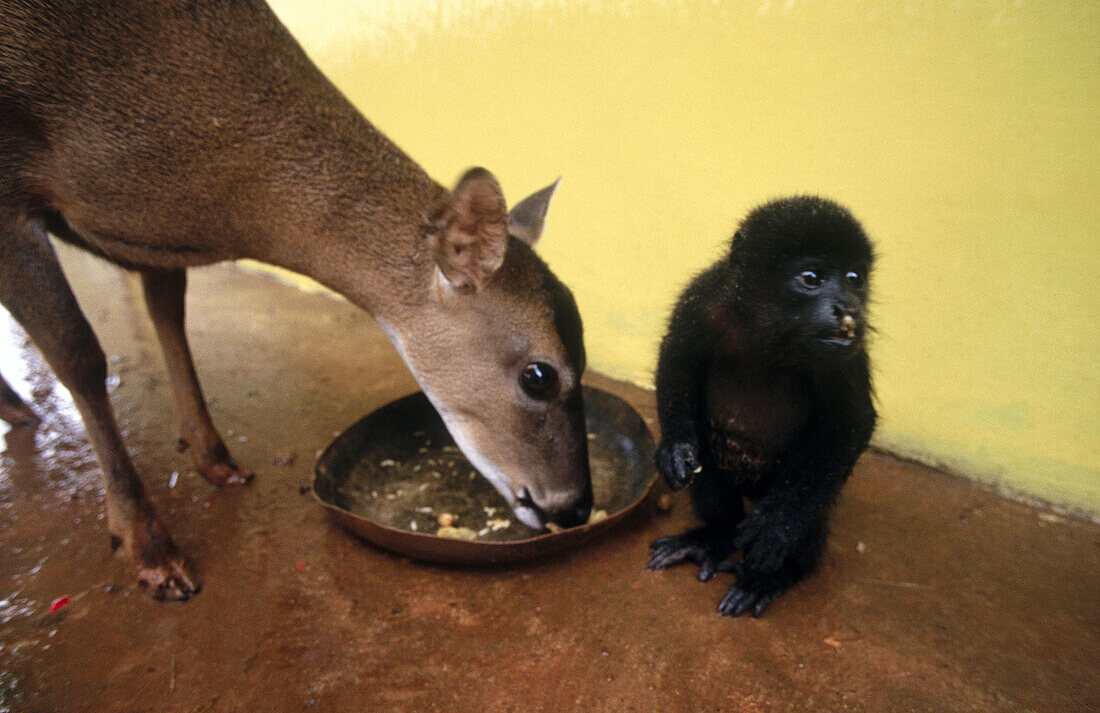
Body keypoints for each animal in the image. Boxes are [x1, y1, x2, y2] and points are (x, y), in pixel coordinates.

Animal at [0, 0, 594, 598]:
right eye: (539, 376)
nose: (575, 506)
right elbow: (79, 354)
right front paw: (151, 551)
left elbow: (169, 314)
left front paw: (215, 459)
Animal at [642, 195, 875, 616]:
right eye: (811, 278)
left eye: (855, 278)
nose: (847, 307)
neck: (771, 331)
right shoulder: (704, 298)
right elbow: (677, 358)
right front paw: (676, 448)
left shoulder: (848, 349)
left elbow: (852, 422)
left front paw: (777, 526)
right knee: (711, 470)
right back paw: (711, 538)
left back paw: (777, 574)